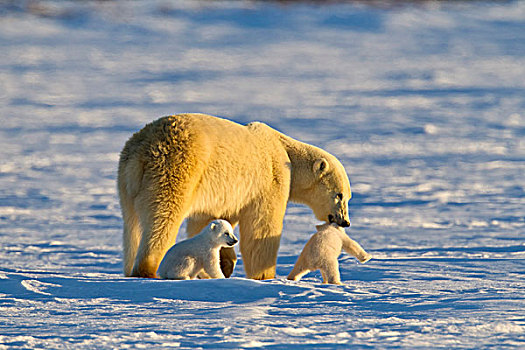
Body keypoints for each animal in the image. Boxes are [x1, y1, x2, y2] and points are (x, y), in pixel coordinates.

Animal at [116, 114, 350, 278]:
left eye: (348, 197)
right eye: (339, 195)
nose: (345, 221)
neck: (285, 150)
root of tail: (142, 151)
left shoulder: (224, 194)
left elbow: (209, 220)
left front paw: (225, 263)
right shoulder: (270, 179)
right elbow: (261, 229)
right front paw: (264, 276)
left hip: (126, 181)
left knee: (132, 226)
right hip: (175, 169)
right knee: (163, 217)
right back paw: (149, 270)